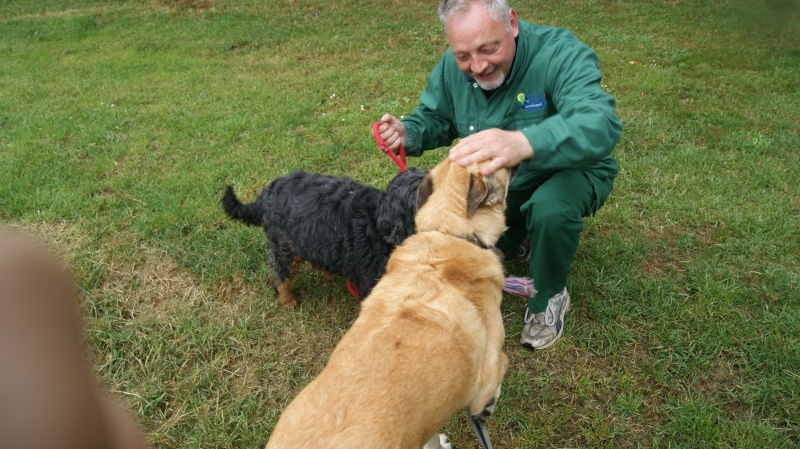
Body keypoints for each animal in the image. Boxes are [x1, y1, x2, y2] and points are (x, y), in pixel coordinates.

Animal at [262, 158, 512, 448]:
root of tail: (271, 188)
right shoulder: (488, 370)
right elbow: (497, 372)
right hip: (284, 247)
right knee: (280, 273)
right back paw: (288, 298)